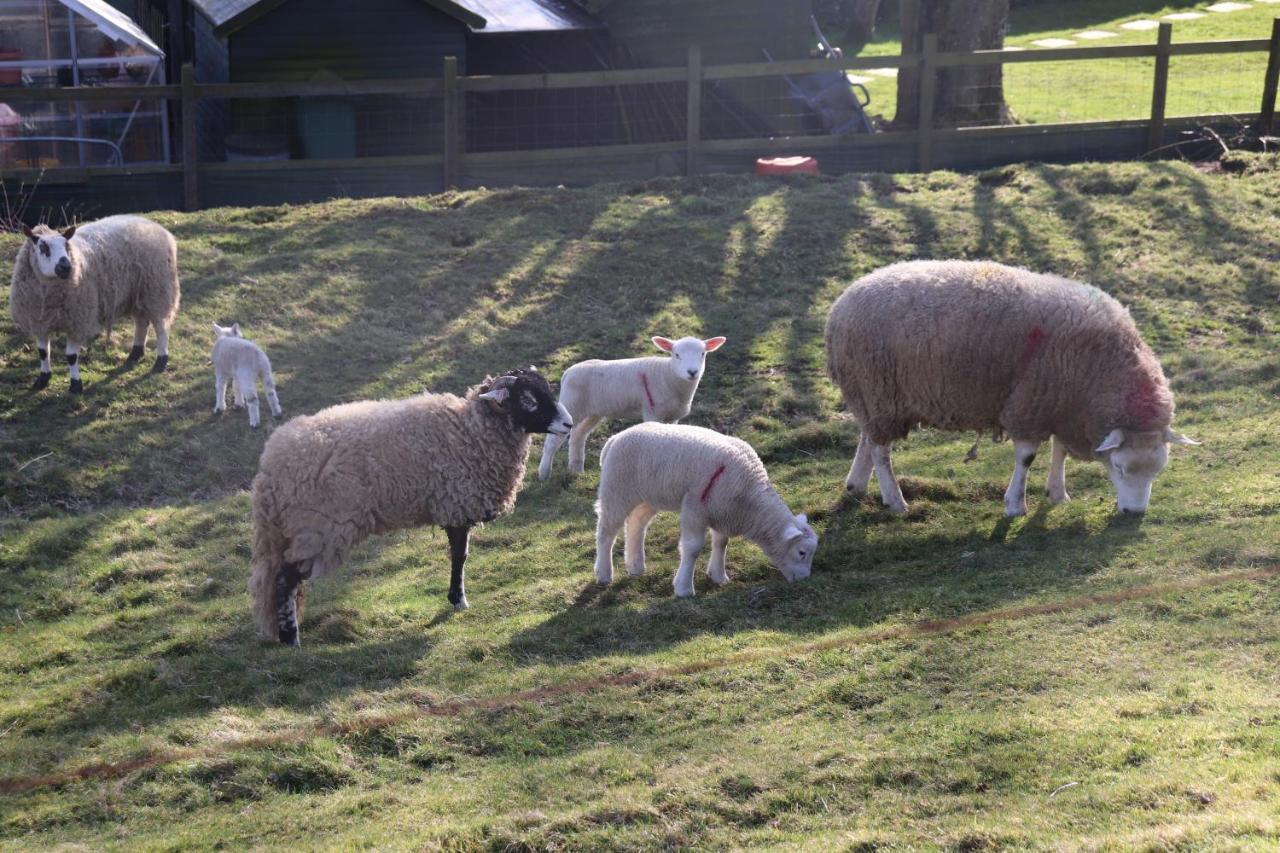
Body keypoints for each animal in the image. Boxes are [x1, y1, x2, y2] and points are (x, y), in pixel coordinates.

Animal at [8, 213, 180, 389]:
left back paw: (160, 361)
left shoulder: (78, 321)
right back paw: (135, 354)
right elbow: (43, 353)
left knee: (161, 327)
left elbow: (71, 356)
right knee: (141, 322)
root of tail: (158, 228)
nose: (66, 267)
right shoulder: (39, 322)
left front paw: (76, 385)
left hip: (157, 290)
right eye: (43, 247)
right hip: (138, 294)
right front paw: (42, 379)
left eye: (66, 246)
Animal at [249, 366, 570, 645]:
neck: (469, 431)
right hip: (319, 527)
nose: (568, 423)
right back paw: (291, 638)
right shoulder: (456, 504)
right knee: (285, 580)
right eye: (528, 400)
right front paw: (458, 600)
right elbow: (460, 557)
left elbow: (459, 556)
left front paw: (455, 598)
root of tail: (270, 466)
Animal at [535, 333, 727, 479]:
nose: (692, 372)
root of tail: (567, 372)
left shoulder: (673, 417)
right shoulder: (652, 412)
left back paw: (576, 470)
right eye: (676, 355)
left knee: (578, 435)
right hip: (571, 405)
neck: (668, 375)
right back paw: (544, 474)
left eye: (703, 354)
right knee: (551, 442)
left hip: (593, 412)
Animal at [591, 420, 814, 594]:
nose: (805, 579)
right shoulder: (695, 507)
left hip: (648, 496)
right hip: (616, 490)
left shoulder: (722, 510)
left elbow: (722, 542)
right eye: (802, 552)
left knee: (637, 524)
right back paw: (604, 573)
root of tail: (614, 439)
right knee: (606, 532)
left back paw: (636, 567)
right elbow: (692, 548)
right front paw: (684, 588)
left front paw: (718, 576)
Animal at [819, 256, 1198, 514]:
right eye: (1120, 467)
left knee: (867, 437)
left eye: (1159, 469)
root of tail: (840, 305)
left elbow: (1059, 450)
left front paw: (1057, 494)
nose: (1134, 513)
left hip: (872, 395)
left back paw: (856, 485)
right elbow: (1027, 457)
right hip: (879, 390)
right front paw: (1015, 505)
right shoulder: (1031, 402)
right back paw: (895, 500)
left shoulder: (1061, 402)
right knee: (881, 451)